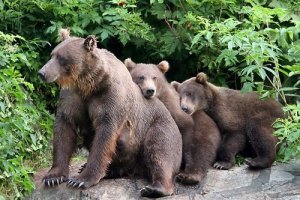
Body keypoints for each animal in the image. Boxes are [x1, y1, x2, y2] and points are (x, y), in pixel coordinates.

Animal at [37, 28, 183, 198]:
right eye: (52, 54)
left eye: (61, 58)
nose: (42, 72)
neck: (89, 84)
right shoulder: (73, 95)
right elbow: (64, 127)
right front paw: (53, 177)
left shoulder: (111, 97)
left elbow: (105, 135)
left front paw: (81, 179)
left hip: (159, 127)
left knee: (159, 150)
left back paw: (155, 188)